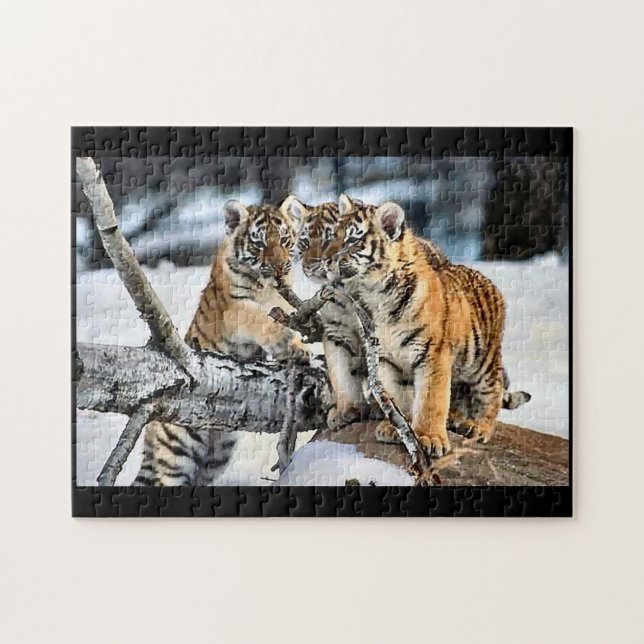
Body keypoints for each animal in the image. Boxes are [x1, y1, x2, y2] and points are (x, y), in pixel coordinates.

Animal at [133, 198, 307, 485]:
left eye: (284, 240)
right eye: (259, 244)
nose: (280, 268)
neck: (267, 288)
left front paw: (298, 349)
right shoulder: (234, 310)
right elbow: (259, 317)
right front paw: (284, 340)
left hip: (214, 459)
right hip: (175, 455)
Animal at [324, 195, 529, 457]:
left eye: (352, 239)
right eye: (333, 235)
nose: (325, 261)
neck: (375, 294)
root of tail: (489, 282)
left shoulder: (433, 354)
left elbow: (431, 400)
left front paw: (429, 438)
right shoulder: (386, 359)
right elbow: (398, 398)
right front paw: (397, 429)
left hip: (481, 361)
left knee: (492, 391)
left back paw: (477, 427)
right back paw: (457, 419)